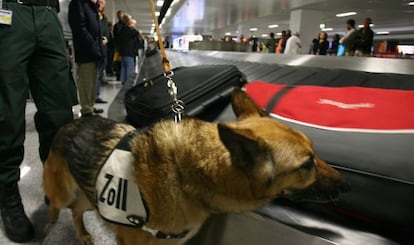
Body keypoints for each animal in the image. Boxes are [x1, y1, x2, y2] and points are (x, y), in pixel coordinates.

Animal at [42, 89, 348, 244]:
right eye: (307, 164)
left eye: (315, 153)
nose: (345, 184)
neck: (184, 175)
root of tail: (71, 123)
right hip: (64, 193)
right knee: (59, 205)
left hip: (86, 195)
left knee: (76, 211)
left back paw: (82, 234)